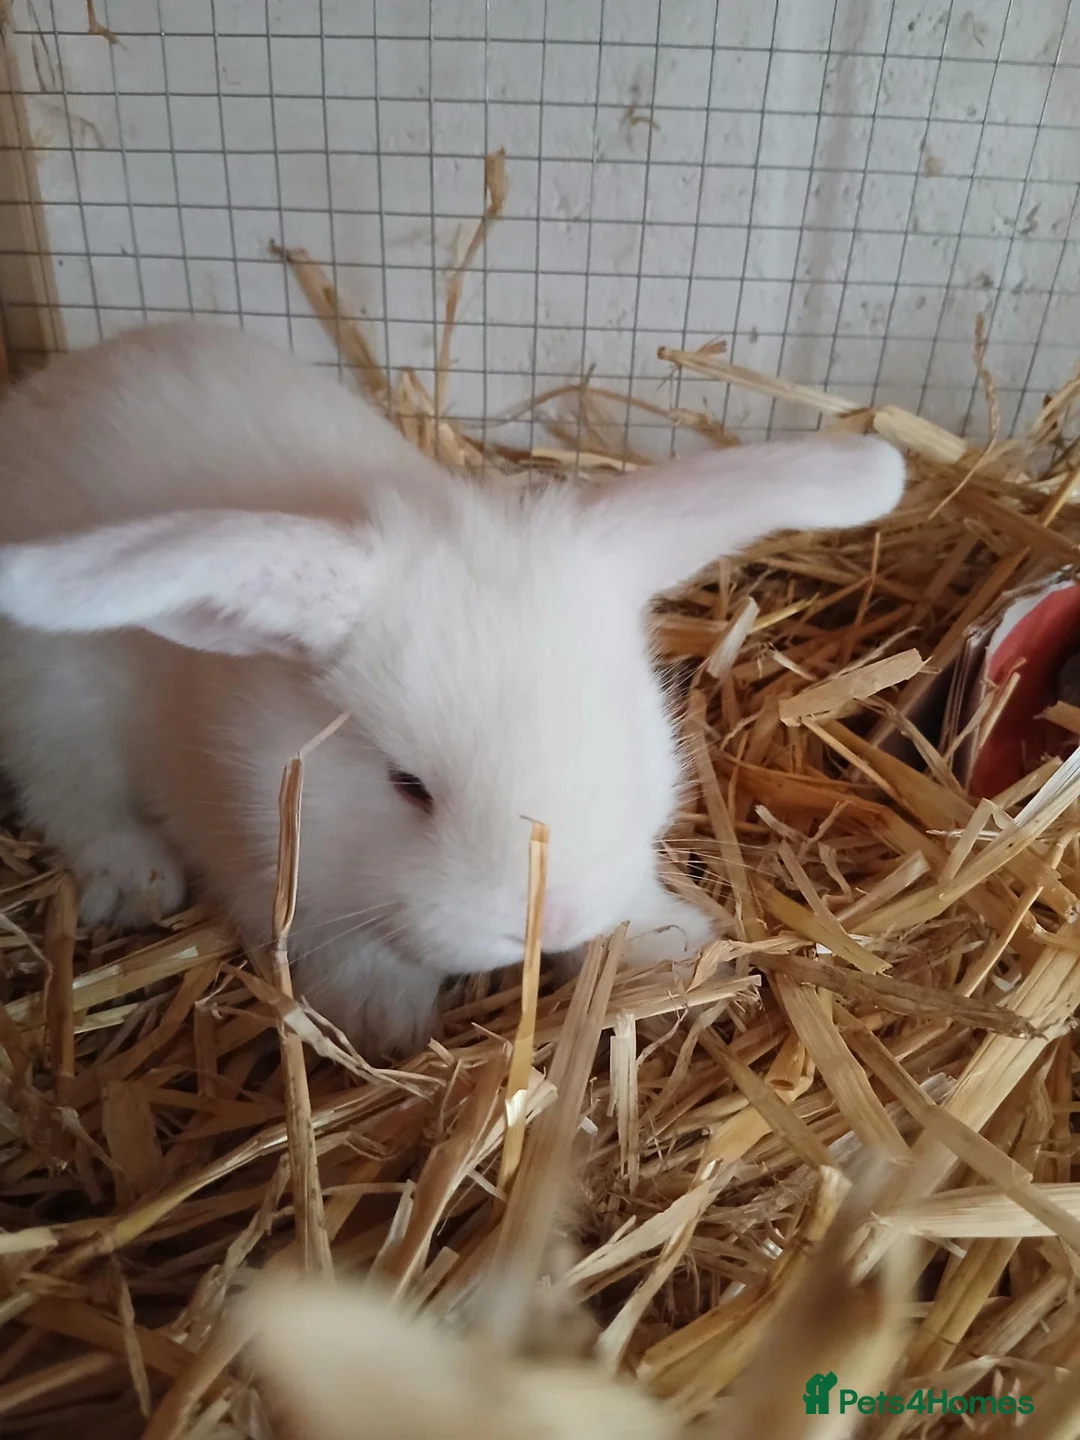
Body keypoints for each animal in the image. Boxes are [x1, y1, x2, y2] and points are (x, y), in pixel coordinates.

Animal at [0, 321, 906, 1055]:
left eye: (621, 743)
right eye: (408, 786)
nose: (553, 919)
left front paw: (678, 949)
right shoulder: (270, 871)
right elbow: (336, 944)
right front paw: (388, 1019)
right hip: (55, 710)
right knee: (72, 800)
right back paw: (137, 876)